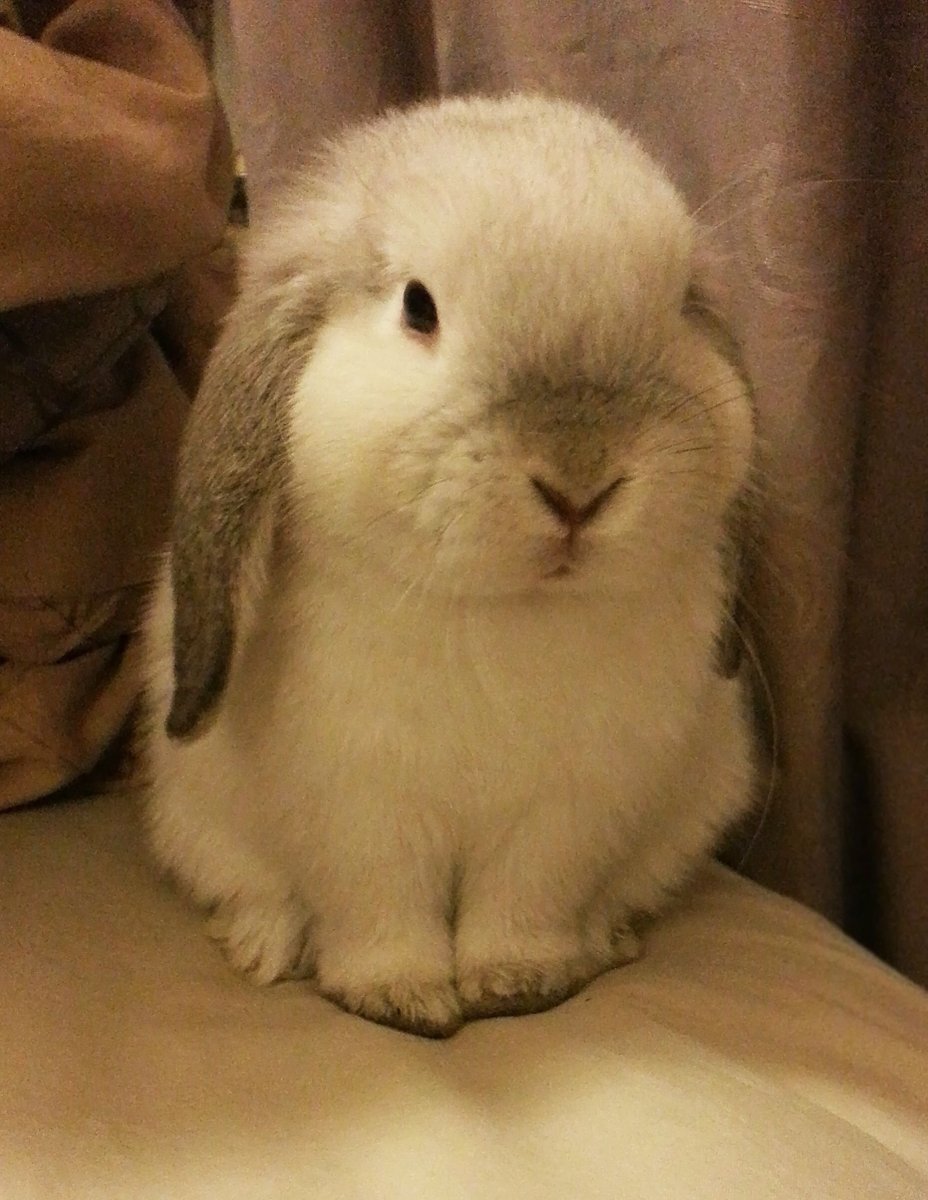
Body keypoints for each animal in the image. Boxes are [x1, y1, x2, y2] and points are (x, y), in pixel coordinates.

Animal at [142, 92, 758, 1039]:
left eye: (680, 303)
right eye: (418, 308)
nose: (580, 483)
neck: (502, 607)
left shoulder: (565, 814)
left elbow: (524, 904)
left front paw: (517, 984)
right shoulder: (360, 813)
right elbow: (380, 911)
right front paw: (400, 998)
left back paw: (607, 938)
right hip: (200, 824)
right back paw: (262, 945)